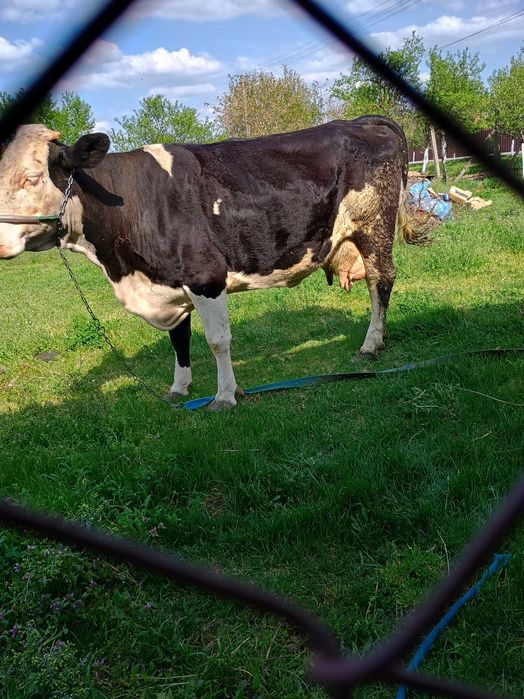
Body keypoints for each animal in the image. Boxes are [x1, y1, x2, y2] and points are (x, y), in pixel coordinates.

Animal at [0, 117, 419, 409]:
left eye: (32, 178)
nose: (1, 242)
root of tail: (361, 120)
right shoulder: (170, 285)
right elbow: (178, 340)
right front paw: (178, 389)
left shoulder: (206, 277)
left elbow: (218, 341)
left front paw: (225, 396)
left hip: (373, 227)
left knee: (381, 282)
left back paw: (370, 344)